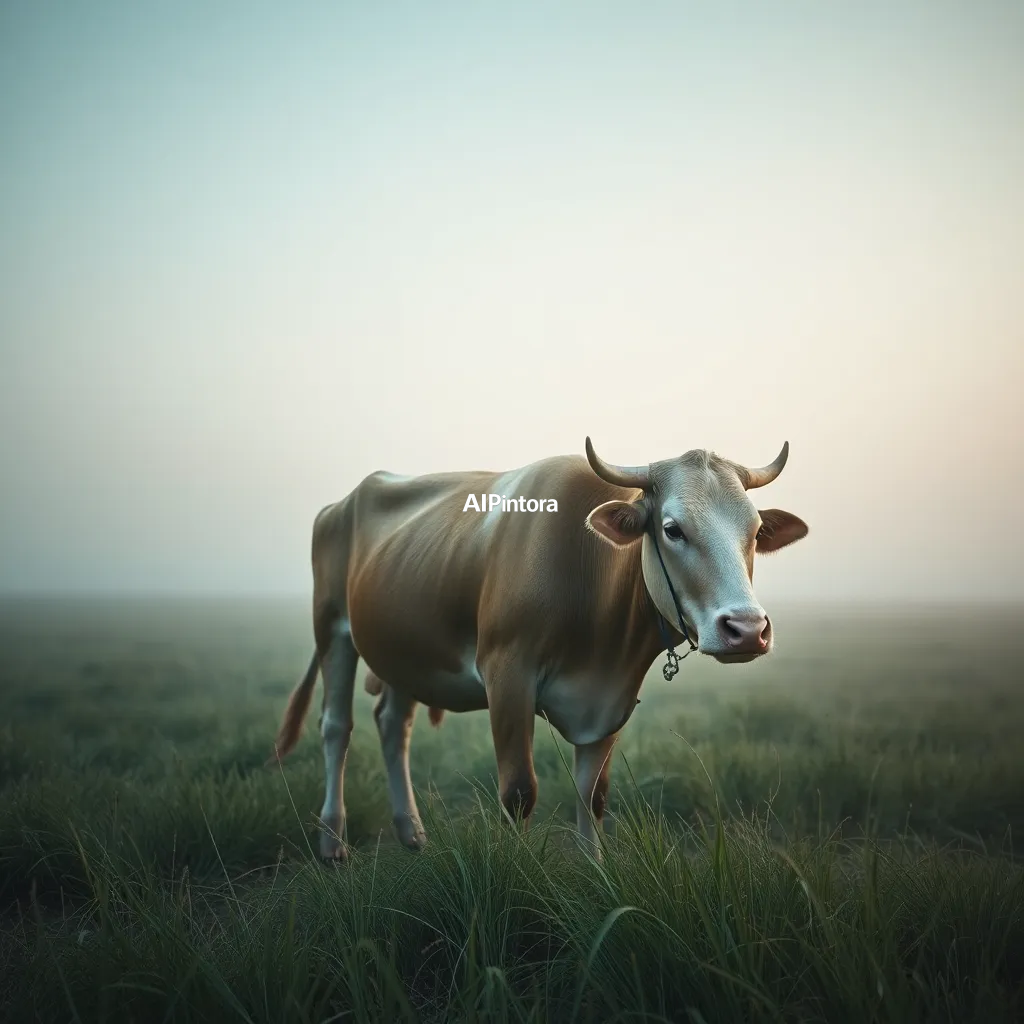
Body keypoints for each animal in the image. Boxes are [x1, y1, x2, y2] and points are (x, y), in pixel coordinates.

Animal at [270, 438, 808, 861]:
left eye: (755, 532)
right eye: (673, 528)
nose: (747, 629)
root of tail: (343, 502)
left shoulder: (614, 697)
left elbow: (593, 795)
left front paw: (596, 876)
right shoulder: (508, 674)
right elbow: (519, 792)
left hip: (406, 648)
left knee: (392, 723)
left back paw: (412, 833)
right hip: (333, 629)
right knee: (336, 727)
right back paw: (332, 841)